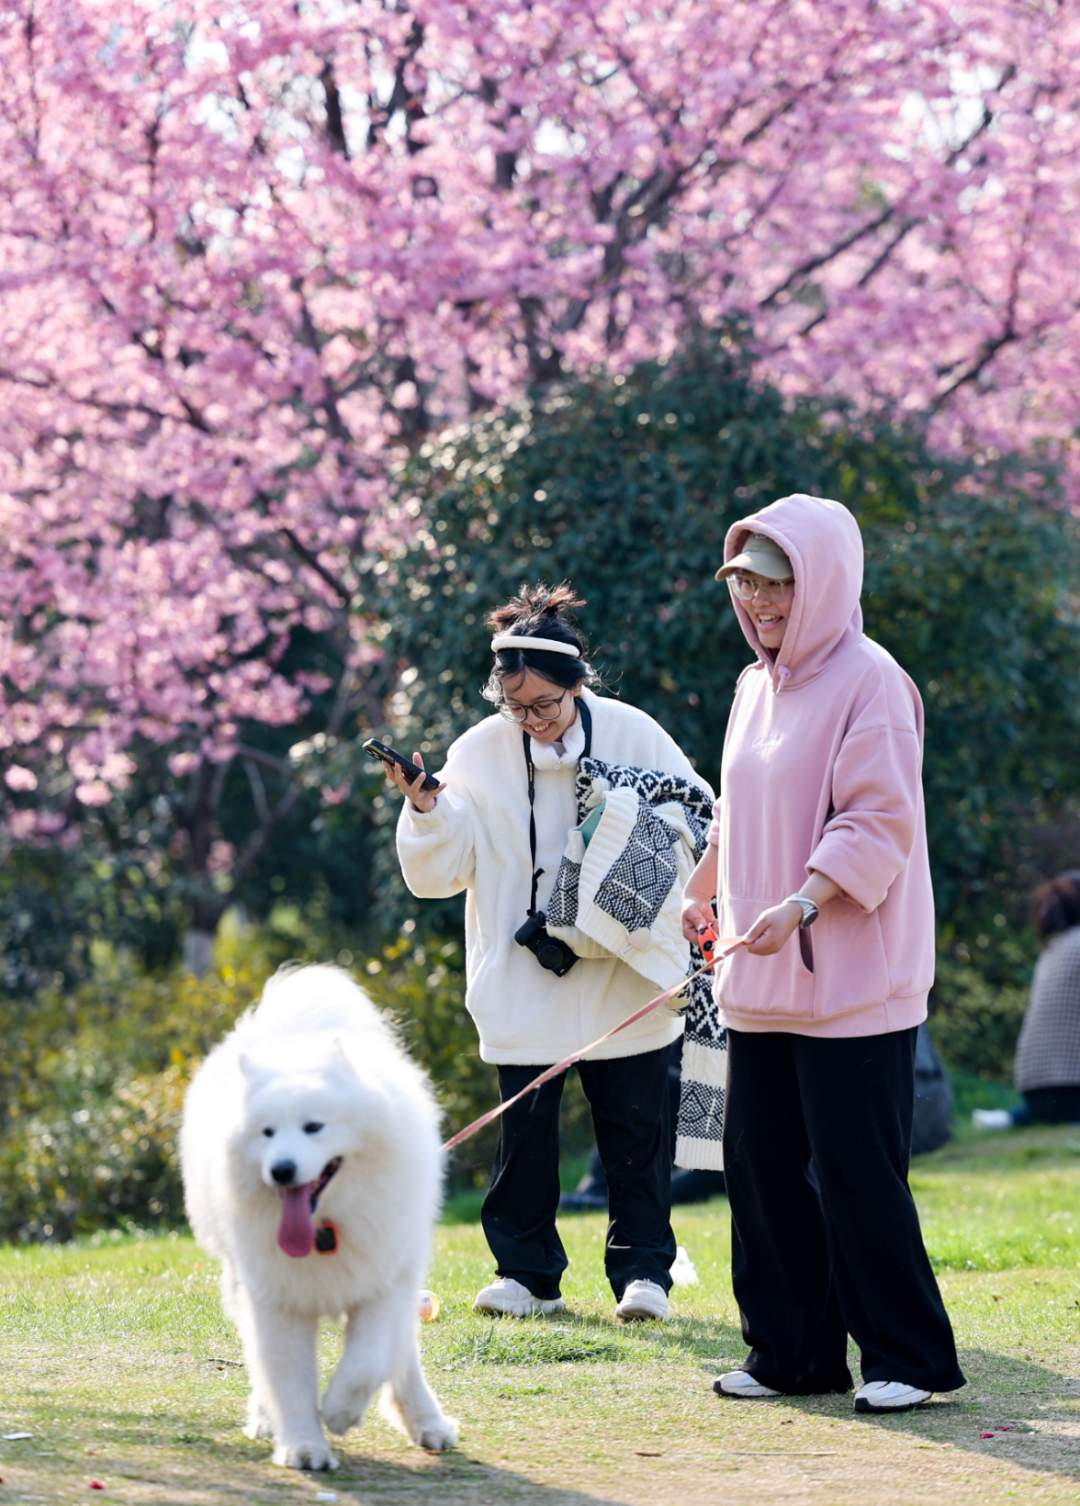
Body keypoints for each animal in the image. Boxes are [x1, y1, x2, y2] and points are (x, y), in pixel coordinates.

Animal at [180, 964, 458, 1470]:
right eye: (267, 1133)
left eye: (314, 1127)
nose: (282, 1169)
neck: (324, 1227)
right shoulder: (276, 1298)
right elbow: (286, 1377)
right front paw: (304, 1446)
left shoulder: (384, 1283)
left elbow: (367, 1361)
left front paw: (341, 1411)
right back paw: (265, 1418)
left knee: (403, 1358)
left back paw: (429, 1423)